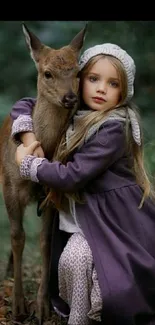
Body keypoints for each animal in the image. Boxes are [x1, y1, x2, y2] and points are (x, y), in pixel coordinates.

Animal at [0, 22, 86, 322]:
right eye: (47, 73)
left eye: (78, 71)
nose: (70, 97)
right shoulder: (10, 188)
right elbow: (17, 237)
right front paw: (18, 307)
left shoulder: (49, 195)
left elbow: (45, 241)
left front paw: (42, 307)